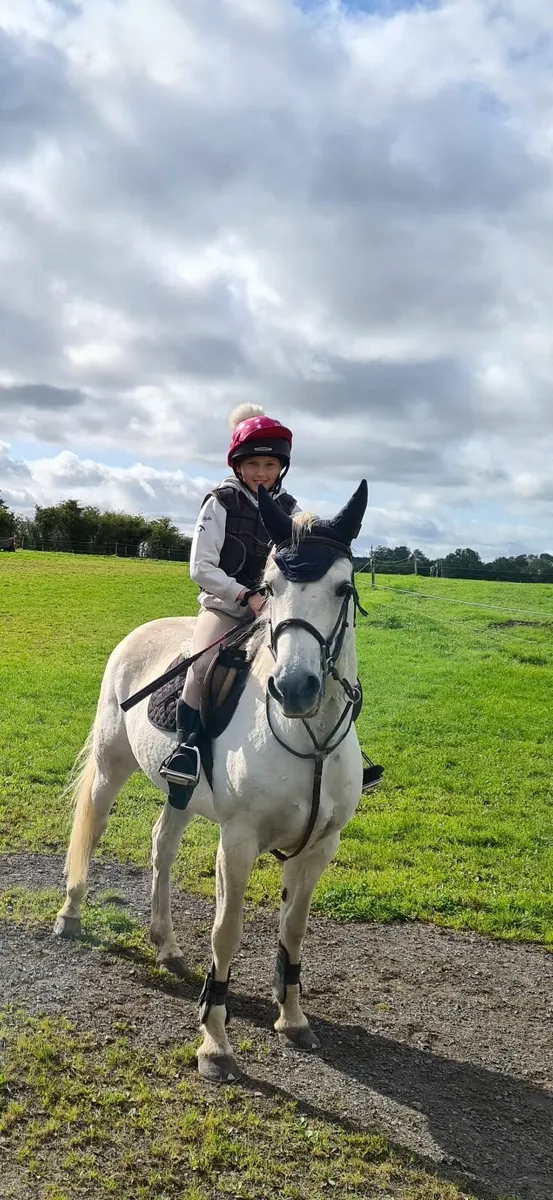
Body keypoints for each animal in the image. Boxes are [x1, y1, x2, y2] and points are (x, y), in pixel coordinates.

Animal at [54, 481, 369, 1084]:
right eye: (268, 588)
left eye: (343, 587)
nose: (294, 687)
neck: (309, 740)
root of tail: (142, 632)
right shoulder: (239, 840)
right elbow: (228, 930)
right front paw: (215, 1044)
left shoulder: (320, 847)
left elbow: (293, 931)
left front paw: (293, 1018)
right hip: (110, 766)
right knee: (93, 831)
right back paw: (71, 915)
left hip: (179, 791)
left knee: (162, 847)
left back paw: (167, 946)